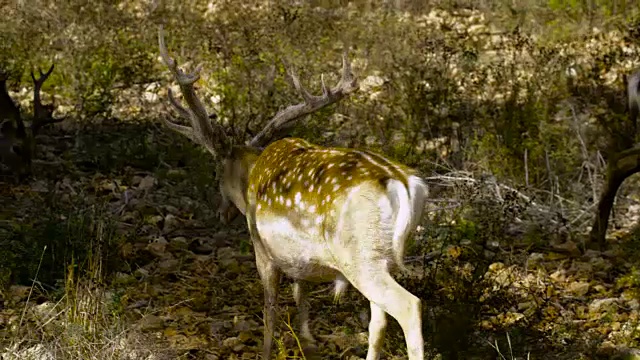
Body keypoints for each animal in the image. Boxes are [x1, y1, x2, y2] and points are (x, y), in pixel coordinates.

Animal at [157, 26, 428, 360]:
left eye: (216, 172)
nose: (221, 213)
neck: (250, 175)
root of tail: (405, 184)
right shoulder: (301, 260)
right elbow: (302, 297)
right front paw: (308, 343)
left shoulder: (261, 245)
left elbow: (270, 306)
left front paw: (265, 352)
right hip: (382, 257)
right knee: (378, 320)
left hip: (360, 256)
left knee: (409, 306)